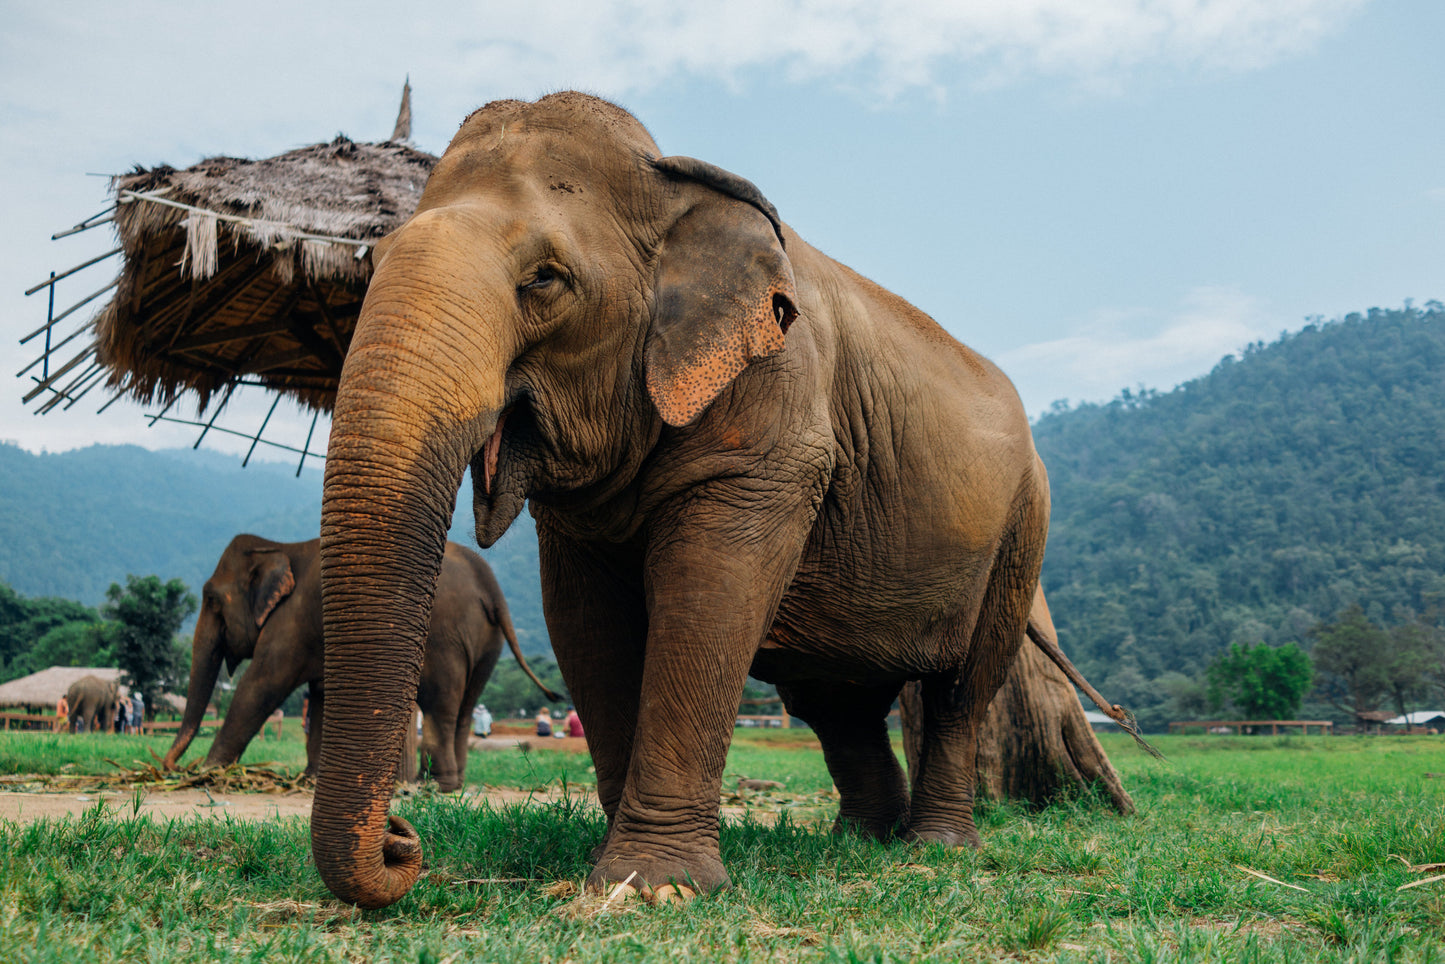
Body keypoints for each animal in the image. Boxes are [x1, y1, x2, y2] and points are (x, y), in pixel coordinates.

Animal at [162, 534, 557, 792]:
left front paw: (209, 773)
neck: (280, 547)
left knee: (438, 706)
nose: (173, 768)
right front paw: (310, 779)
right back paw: (453, 783)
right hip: (488, 642)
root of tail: (490, 586)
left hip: (443, 635)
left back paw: (431, 786)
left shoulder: (290, 622)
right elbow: (320, 697)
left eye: (212, 599)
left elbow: (261, 685)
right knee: (466, 707)